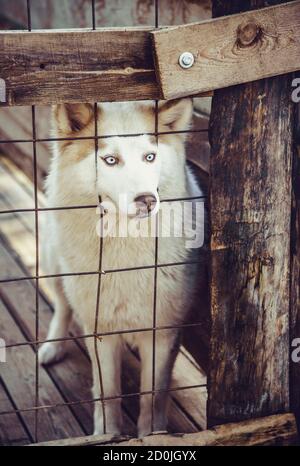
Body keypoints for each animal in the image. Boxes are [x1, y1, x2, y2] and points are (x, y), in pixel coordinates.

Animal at [38, 98, 205, 436]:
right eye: (111, 160)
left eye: (149, 156)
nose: (147, 200)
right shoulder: (100, 332)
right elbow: (108, 394)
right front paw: (108, 434)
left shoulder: (162, 332)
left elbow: (153, 395)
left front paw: (152, 434)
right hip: (54, 264)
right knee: (62, 306)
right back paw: (52, 347)